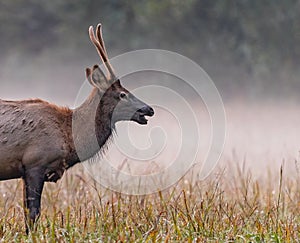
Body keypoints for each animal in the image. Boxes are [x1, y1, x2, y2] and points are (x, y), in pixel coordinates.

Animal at [0, 23, 155, 233]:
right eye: (122, 94)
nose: (149, 109)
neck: (69, 137)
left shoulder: (26, 171)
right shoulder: (34, 163)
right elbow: (33, 214)